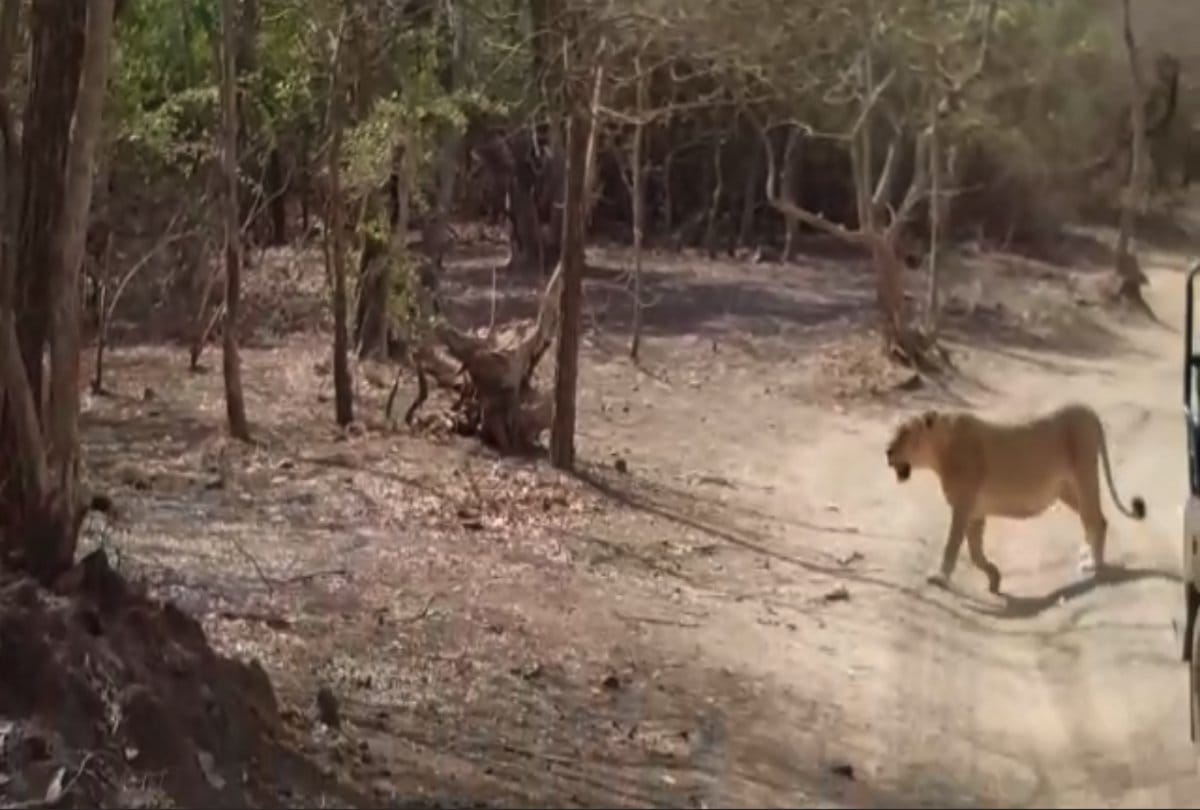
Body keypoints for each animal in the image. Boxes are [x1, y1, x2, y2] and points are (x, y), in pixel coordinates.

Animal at [884, 403, 1146, 593]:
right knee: (1096, 519)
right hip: (1066, 489)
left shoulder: (963, 506)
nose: (887, 451)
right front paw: (994, 577)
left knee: (1095, 519)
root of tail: (1088, 410)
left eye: (905, 432)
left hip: (1085, 475)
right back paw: (1089, 555)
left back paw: (1095, 564)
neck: (939, 452)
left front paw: (939, 577)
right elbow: (975, 553)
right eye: (893, 430)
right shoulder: (975, 512)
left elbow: (952, 545)